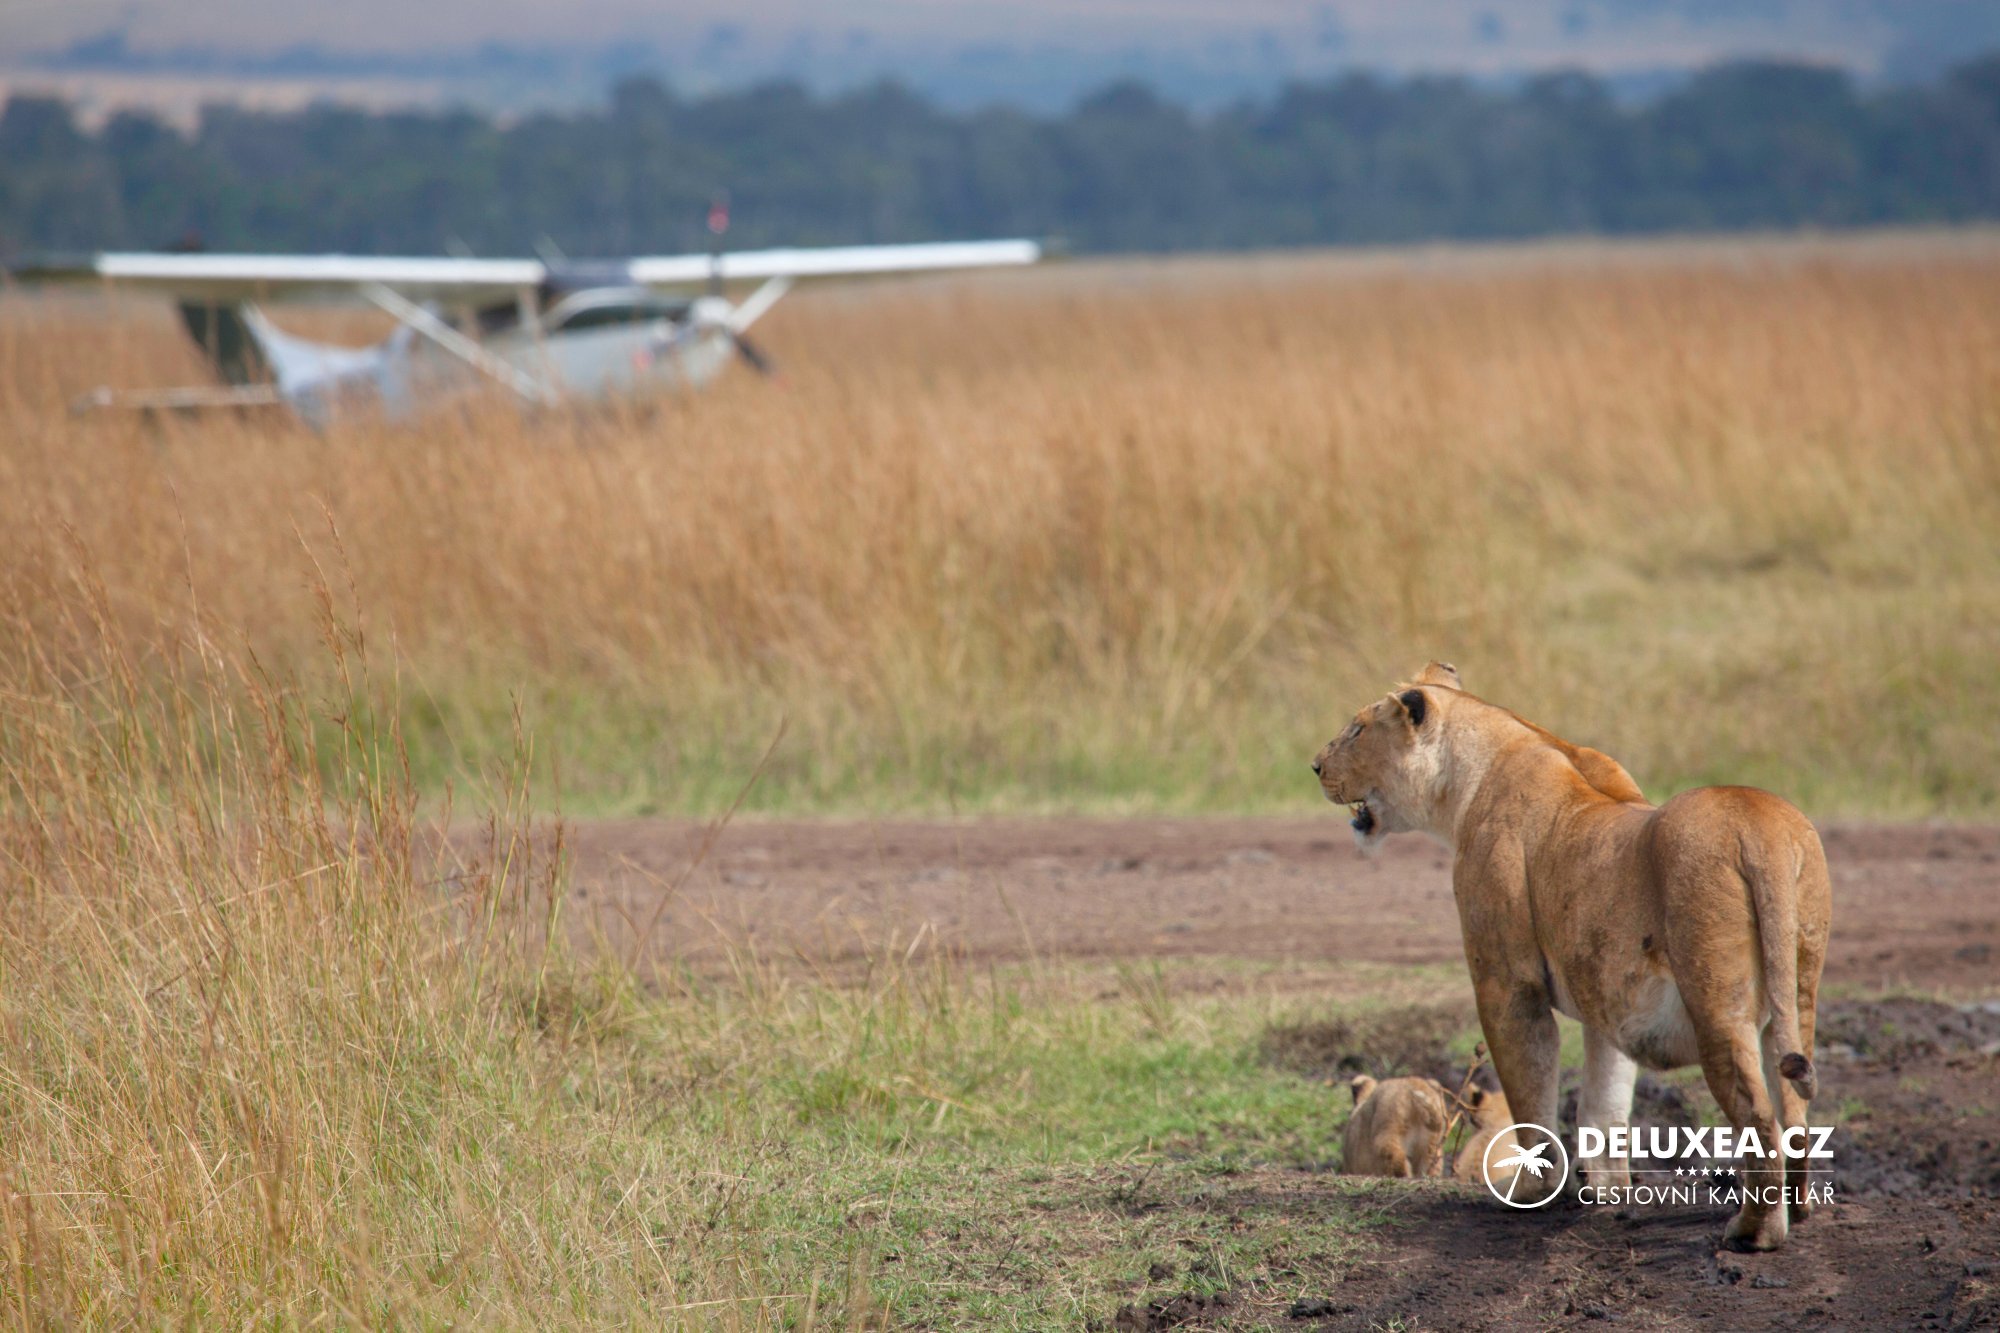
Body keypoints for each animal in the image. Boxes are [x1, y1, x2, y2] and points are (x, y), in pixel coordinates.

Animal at [1312, 664, 1831, 1251]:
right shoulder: (1609, 993)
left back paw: (1753, 1231)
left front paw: (1531, 1189)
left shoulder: (1508, 983)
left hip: (1716, 1001)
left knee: (1758, 1114)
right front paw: (1607, 1193)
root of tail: (1759, 828)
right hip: (1798, 986)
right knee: (1794, 1106)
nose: (1315, 766)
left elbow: (1530, 1092)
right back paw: (1799, 1208)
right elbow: (1603, 1104)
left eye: (1357, 730)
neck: (1474, 772)